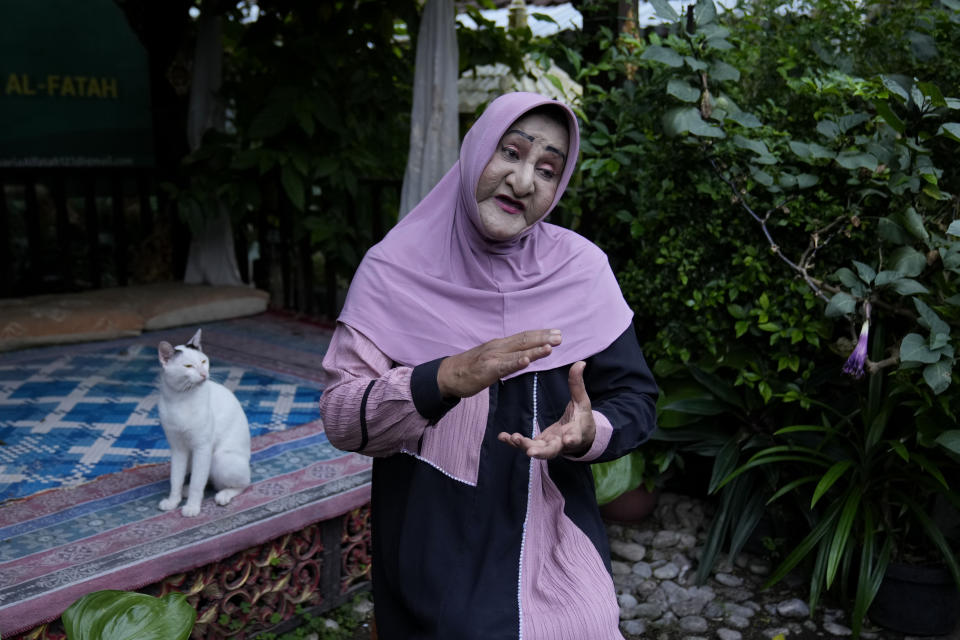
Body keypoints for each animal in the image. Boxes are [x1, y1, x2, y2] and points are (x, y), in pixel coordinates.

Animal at [156, 328, 249, 516]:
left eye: (203, 361)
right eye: (188, 366)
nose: (204, 374)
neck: (180, 399)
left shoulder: (202, 447)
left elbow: (197, 484)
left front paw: (192, 507)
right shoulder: (177, 448)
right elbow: (175, 479)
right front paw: (173, 501)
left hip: (219, 459)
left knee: (243, 483)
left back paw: (223, 495)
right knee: (205, 480)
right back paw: (184, 491)